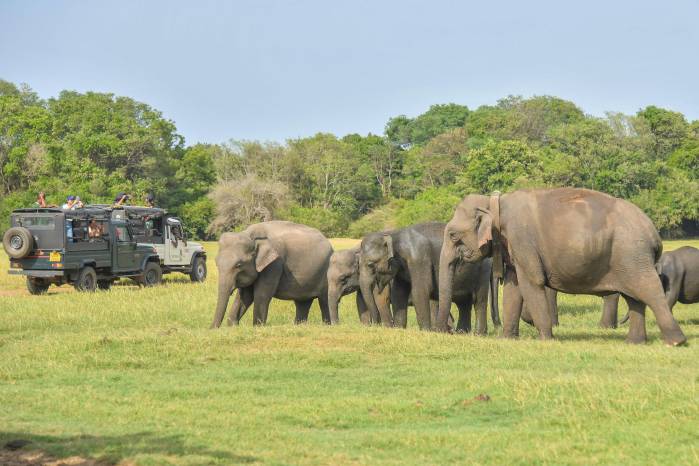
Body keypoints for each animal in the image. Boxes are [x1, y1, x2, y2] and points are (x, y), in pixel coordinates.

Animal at [358, 222, 498, 332]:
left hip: (483, 269)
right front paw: (399, 328)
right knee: (463, 303)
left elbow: (421, 290)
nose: (374, 324)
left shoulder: (419, 258)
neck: (393, 234)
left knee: (479, 300)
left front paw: (425, 331)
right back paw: (462, 332)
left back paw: (478, 334)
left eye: (370, 264)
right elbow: (399, 293)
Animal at [436, 188, 686, 346]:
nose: (445, 330)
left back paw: (676, 341)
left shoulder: (522, 240)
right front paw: (507, 339)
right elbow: (512, 288)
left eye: (453, 235)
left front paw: (546, 339)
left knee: (648, 289)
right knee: (633, 297)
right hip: (627, 259)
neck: (495, 202)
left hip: (632, 254)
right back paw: (635, 343)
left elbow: (532, 283)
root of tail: (654, 234)